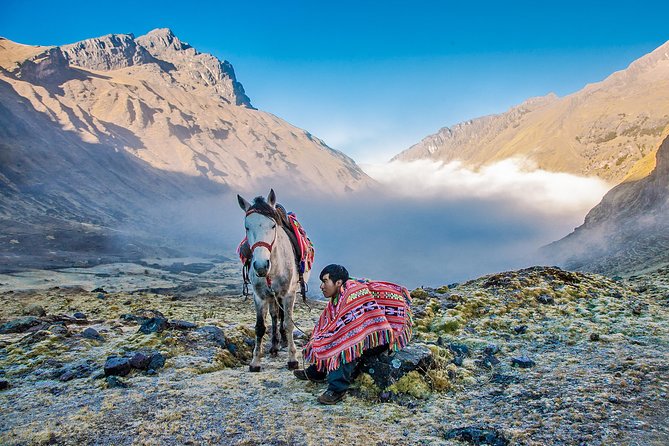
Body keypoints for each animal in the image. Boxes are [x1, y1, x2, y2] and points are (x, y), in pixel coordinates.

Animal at [236, 189, 306, 372]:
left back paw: (282, 342)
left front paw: (292, 359)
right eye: (247, 227)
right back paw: (274, 346)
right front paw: (255, 362)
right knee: (275, 315)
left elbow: (288, 323)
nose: (261, 265)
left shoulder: (289, 294)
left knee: (281, 316)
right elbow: (260, 327)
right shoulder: (259, 296)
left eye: (273, 225)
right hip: (271, 296)